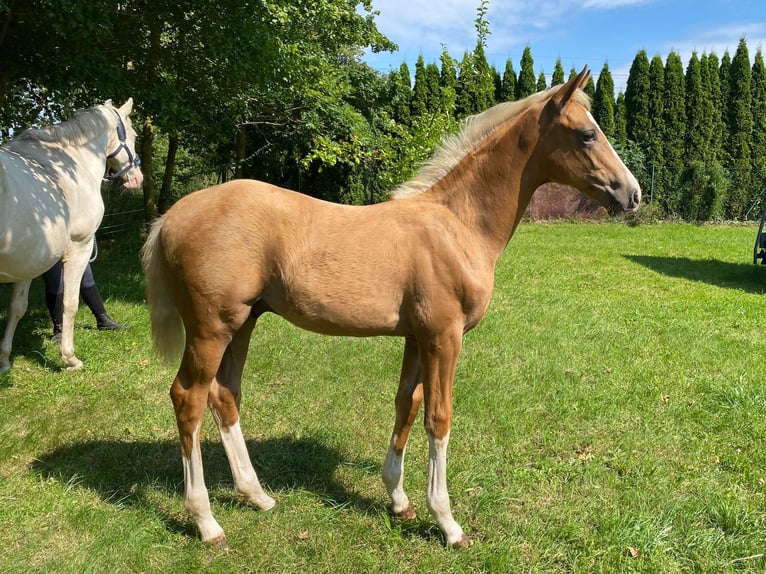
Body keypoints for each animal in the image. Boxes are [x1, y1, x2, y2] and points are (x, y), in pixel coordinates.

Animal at [0, 99, 142, 374]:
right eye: (133, 135)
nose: (137, 178)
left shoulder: (30, 260)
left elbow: (17, 307)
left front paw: (4, 359)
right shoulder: (80, 247)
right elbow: (70, 302)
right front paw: (70, 358)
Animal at [142, 70, 640, 552]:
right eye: (587, 134)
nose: (632, 194)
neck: (457, 226)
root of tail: (169, 217)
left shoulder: (417, 337)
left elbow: (407, 404)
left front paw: (399, 501)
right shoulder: (444, 336)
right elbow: (439, 416)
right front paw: (448, 523)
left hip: (243, 323)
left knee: (225, 394)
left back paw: (257, 496)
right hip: (210, 329)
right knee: (188, 398)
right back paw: (207, 522)